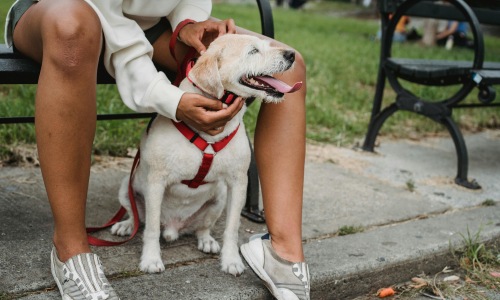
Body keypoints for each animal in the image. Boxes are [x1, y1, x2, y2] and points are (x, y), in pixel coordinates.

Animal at [110, 33, 300, 276]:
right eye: (253, 51)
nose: (291, 54)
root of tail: (173, 227)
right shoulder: (155, 183)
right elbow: (151, 228)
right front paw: (151, 259)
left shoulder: (238, 183)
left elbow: (232, 227)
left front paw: (231, 260)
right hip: (127, 187)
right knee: (137, 217)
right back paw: (126, 225)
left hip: (218, 198)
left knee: (203, 227)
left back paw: (206, 240)